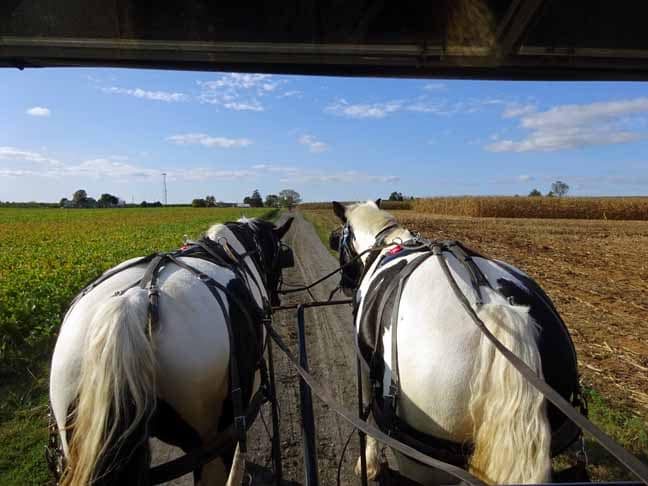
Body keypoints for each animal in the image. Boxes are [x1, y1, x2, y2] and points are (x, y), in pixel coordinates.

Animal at [332, 200, 580, 482]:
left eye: (338, 239)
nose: (345, 285)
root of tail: (497, 308)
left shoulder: (364, 368)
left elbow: (367, 417)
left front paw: (369, 463)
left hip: (421, 458)